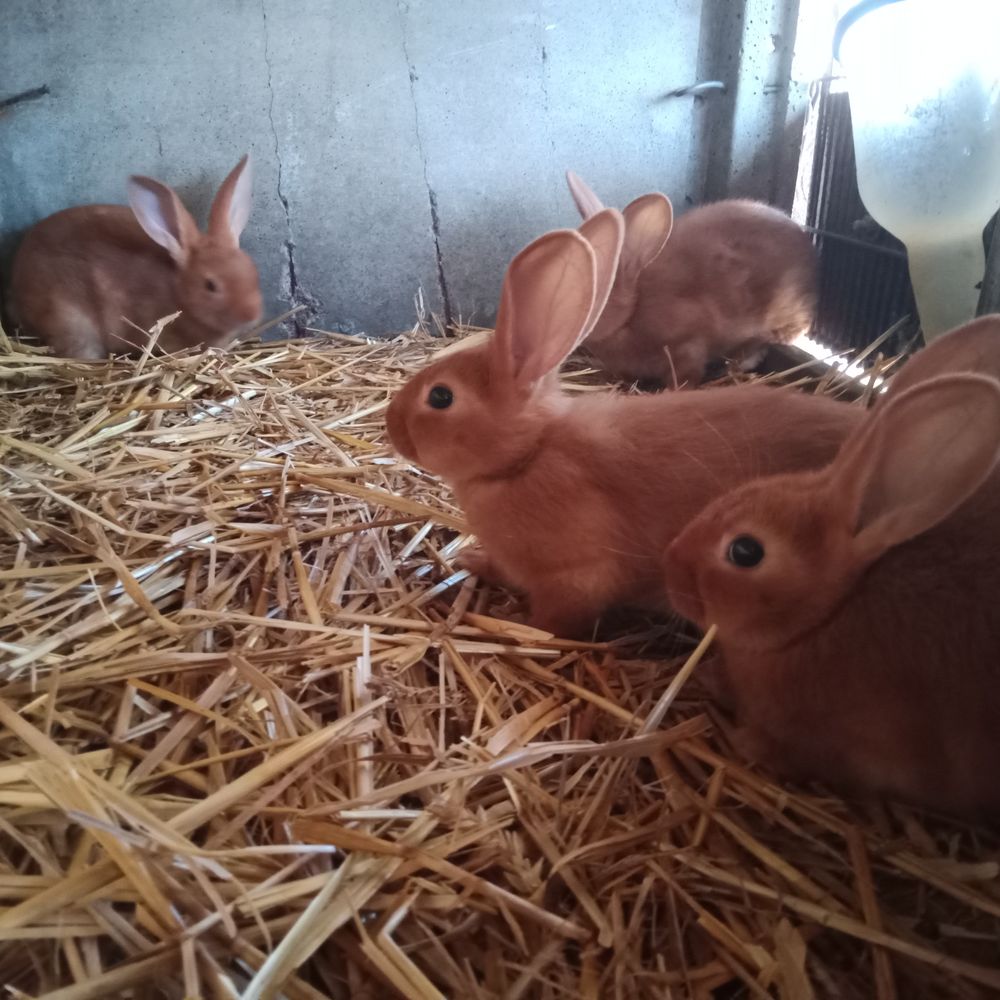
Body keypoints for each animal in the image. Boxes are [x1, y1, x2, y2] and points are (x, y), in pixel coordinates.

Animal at [386, 208, 862, 639]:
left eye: (441, 397)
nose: (391, 425)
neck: (528, 455)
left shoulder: (577, 576)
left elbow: (555, 622)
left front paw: (511, 625)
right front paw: (470, 562)